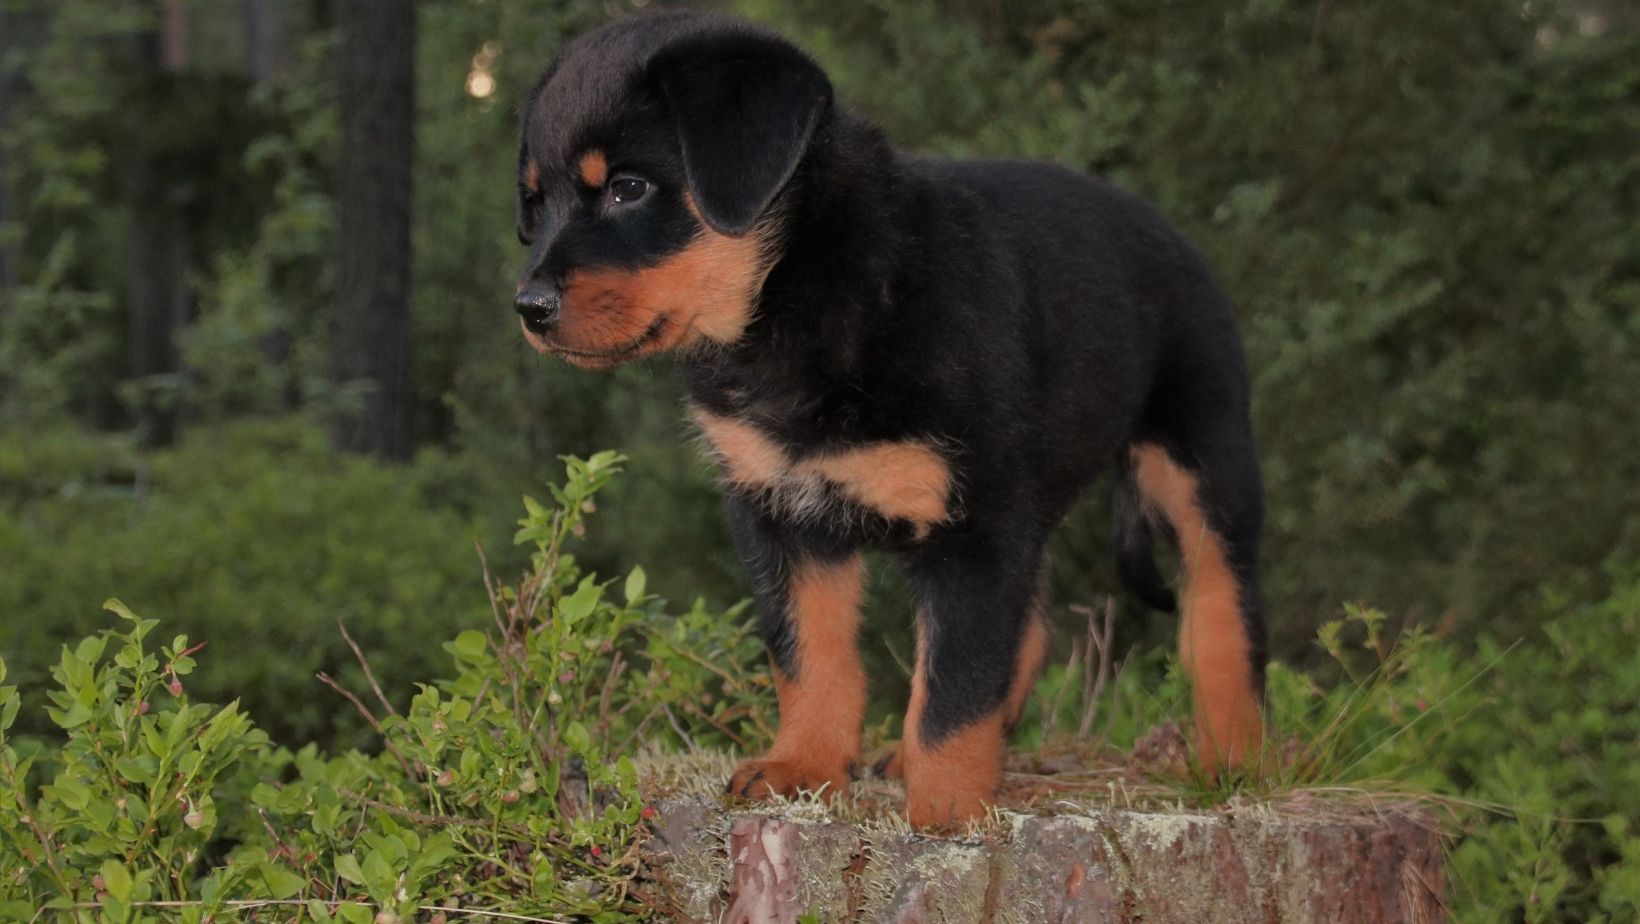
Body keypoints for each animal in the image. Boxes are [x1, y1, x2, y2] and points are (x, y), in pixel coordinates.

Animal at [511, 9, 1266, 830]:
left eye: (628, 188)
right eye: (535, 206)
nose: (529, 308)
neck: (798, 295)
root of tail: (1174, 235)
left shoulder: (975, 524)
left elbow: (954, 686)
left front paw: (947, 813)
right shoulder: (779, 511)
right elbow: (809, 654)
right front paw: (803, 767)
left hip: (1203, 458)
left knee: (1223, 612)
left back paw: (1232, 758)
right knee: (1031, 632)